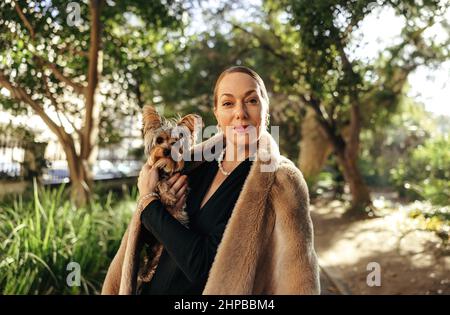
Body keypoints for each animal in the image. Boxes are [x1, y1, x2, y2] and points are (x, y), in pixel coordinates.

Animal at [136, 104, 201, 286]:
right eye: (159, 140)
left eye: (175, 142)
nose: (166, 150)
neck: (166, 166)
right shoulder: (155, 175)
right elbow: (159, 183)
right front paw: (169, 195)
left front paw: (172, 202)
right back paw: (145, 274)